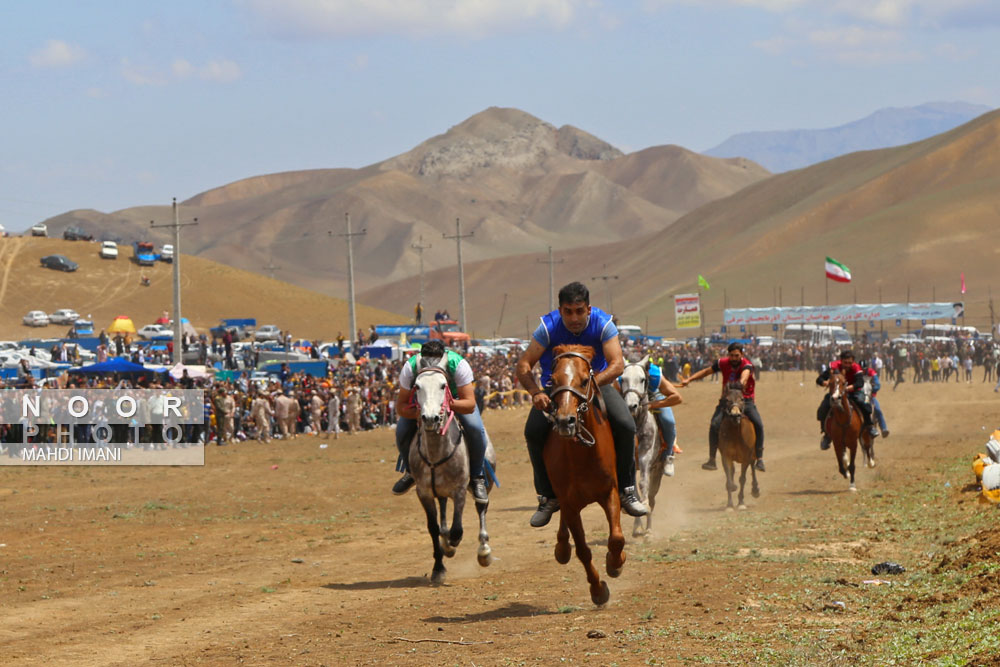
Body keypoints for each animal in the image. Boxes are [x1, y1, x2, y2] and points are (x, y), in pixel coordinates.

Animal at [408, 360, 494, 584]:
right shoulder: (424, 493)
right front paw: (438, 567)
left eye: (443, 385)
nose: (430, 418)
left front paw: (451, 545)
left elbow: (457, 530)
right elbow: (433, 528)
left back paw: (484, 550)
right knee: (443, 508)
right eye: (417, 386)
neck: (436, 453)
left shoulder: (460, 490)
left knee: (481, 507)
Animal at [544, 348, 620, 608]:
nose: (565, 421)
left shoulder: (609, 492)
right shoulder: (569, 504)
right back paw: (561, 547)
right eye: (552, 381)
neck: (581, 455)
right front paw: (598, 590)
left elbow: (616, 538)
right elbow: (583, 550)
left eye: (585, 381)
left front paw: (615, 563)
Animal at [616, 360, 664, 536]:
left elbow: (644, 485)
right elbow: (633, 489)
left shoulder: (646, 457)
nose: (631, 405)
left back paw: (648, 528)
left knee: (652, 496)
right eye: (622, 379)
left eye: (643, 379)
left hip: (658, 468)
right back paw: (637, 526)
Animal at [720, 380, 756, 512]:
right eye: (727, 399)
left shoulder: (746, 457)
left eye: (742, 399)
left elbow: (743, 479)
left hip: (753, 454)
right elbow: (729, 479)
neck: (736, 433)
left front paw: (741, 503)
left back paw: (755, 489)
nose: (735, 415)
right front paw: (730, 505)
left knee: (753, 467)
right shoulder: (726, 456)